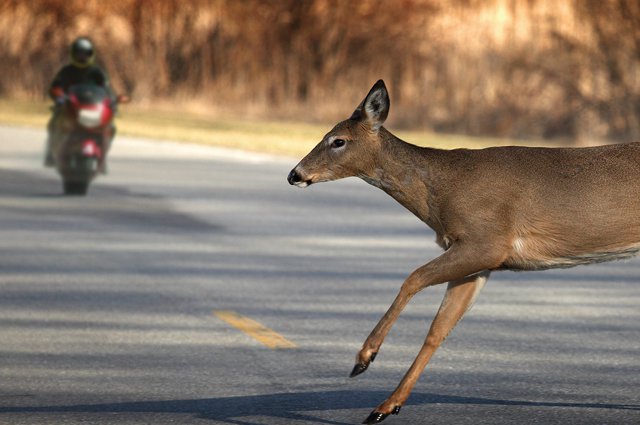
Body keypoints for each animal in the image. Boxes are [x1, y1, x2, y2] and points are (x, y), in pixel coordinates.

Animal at [288, 78, 640, 420]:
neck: (442, 192)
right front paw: (386, 406)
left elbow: (413, 278)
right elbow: (438, 330)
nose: (295, 174)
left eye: (338, 141)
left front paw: (364, 358)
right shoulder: (478, 263)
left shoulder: (487, 241)